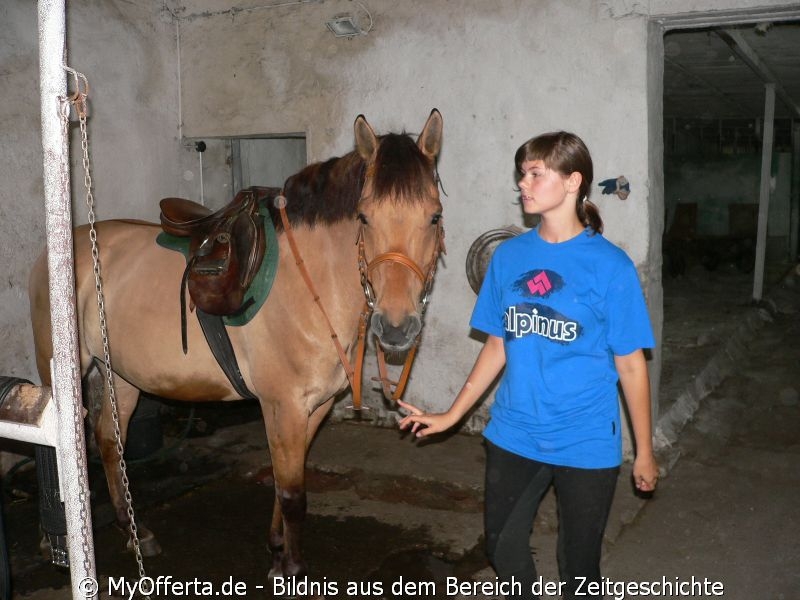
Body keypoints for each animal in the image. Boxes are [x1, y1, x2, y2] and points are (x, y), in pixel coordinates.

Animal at [28, 110, 444, 580]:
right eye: (364, 217)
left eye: (433, 217)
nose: (396, 328)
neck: (310, 283)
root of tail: (60, 249)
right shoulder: (283, 406)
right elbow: (293, 495)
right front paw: (292, 568)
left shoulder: (315, 407)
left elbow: (285, 482)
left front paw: (277, 549)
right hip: (59, 372)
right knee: (53, 449)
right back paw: (53, 541)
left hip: (122, 376)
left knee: (109, 442)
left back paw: (136, 533)